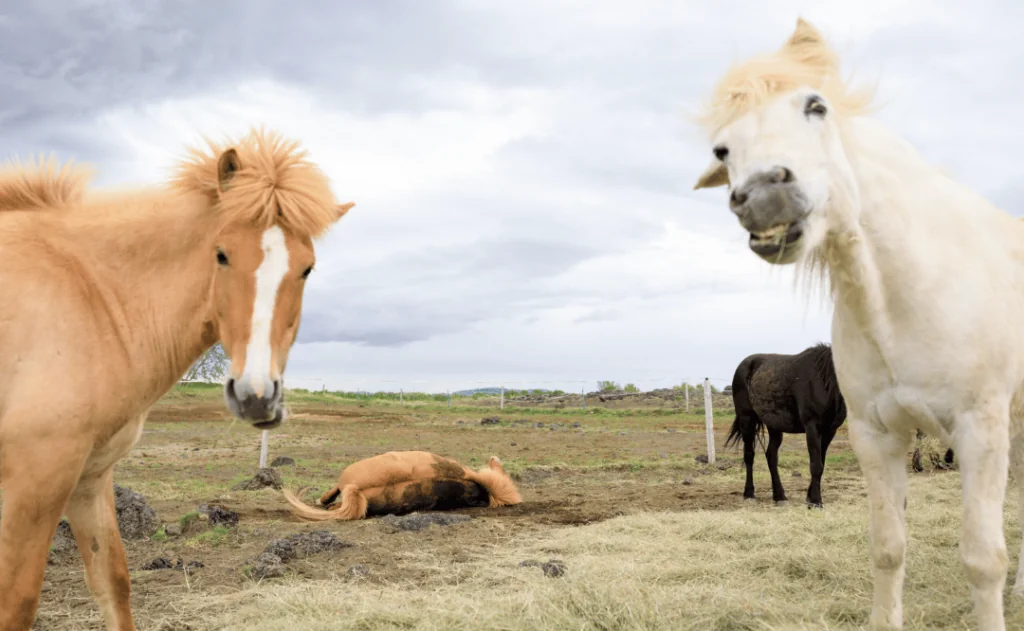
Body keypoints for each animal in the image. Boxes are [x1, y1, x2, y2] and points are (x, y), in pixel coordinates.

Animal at [0, 129, 352, 631]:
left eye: (307, 268)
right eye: (221, 254)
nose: (257, 396)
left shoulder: (90, 476)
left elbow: (113, 581)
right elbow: (17, 602)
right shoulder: (37, 479)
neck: (89, 294)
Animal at [724, 342, 843, 510]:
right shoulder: (812, 427)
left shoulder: (829, 431)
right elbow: (816, 465)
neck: (824, 381)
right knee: (749, 455)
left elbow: (821, 463)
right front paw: (816, 502)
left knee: (771, 456)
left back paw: (779, 497)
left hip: (774, 425)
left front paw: (809, 498)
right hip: (746, 419)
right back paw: (749, 494)